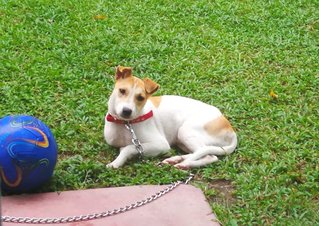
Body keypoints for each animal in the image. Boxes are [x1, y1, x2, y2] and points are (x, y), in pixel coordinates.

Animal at [105, 66, 238, 169]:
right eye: (122, 91)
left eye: (140, 98)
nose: (126, 111)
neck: (126, 124)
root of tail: (231, 132)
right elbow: (125, 147)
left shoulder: (160, 144)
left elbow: (128, 148)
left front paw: (116, 162)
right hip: (182, 141)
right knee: (200, 152)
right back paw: (176, 159)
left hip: (185, 131)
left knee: (210, 156)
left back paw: (184, 164)